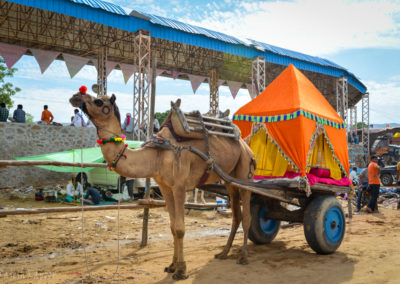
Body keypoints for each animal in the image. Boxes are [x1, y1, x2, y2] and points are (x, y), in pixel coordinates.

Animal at [70, 88, 255, 280]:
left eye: (99, 102)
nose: (76, 96)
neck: (157, 154)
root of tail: (245, 144)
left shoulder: (180, 185)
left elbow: (180, 228)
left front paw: (181, 270)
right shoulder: (165, 187)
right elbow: (172, 227)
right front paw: (172, 266)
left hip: (245, 172)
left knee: (247, 215)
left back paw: (243, 256)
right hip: (229, 179)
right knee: (236, 215)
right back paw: (224, 253)